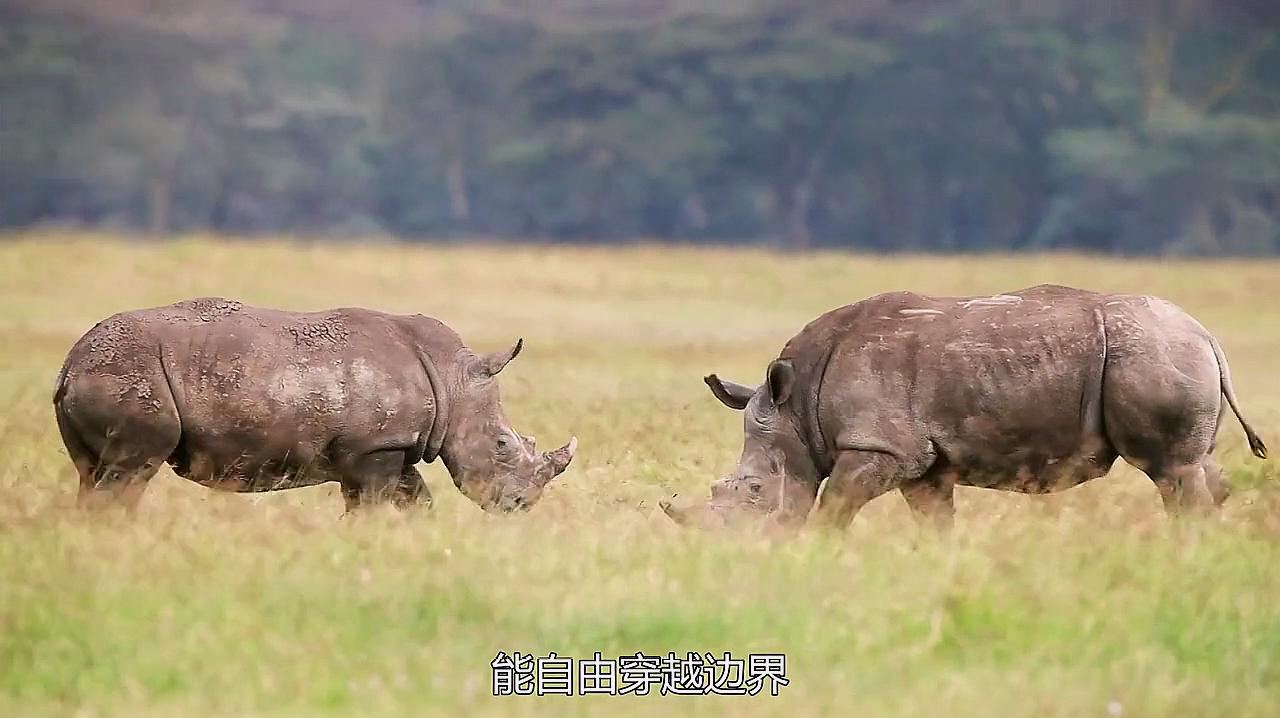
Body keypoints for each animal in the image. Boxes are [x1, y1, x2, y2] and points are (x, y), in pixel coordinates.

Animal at [52, 296, 578, 509]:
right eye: (502, 445)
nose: (522, 506)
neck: (452, 380)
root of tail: (69, 366)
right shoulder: (375, 447)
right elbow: (373, 506)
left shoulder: (385, 448)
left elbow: (414, 502)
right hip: (128, 376)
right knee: (130, 472)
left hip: (104, 374)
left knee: (94, 474)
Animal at [665, 284, 1264, 527]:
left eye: (755, 492)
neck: (797, 408)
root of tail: (1207, 336)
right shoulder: (923, 465)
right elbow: (935, 523)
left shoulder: (881, 447)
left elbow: (834, 506)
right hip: (1165, 352)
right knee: (1195, 466)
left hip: (1151, 352)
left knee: (1170, 469)